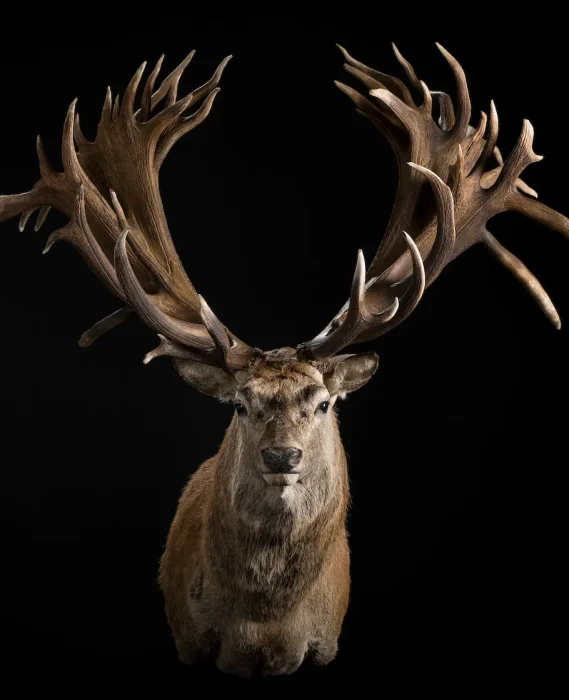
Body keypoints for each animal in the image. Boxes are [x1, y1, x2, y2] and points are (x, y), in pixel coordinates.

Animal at [0, 42, 567, 677]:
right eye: (242, 405)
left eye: (321, 403)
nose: (282, 454)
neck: (264, 630)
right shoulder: (190, 640)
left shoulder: (325, 645)